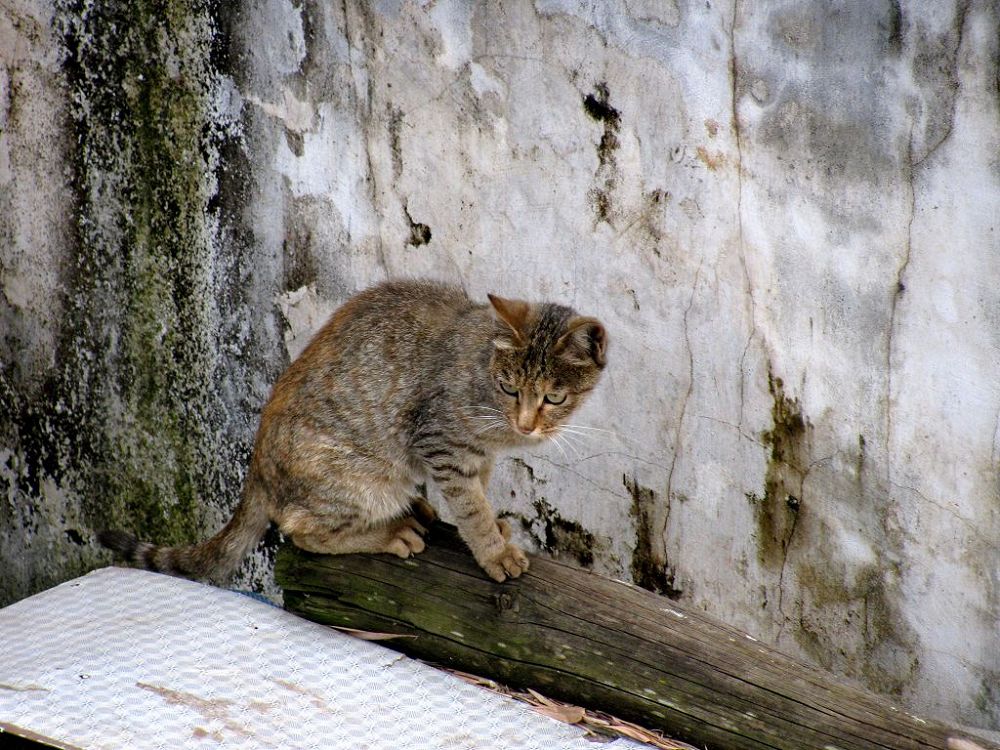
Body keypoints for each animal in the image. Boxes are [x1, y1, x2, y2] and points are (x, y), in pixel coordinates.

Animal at [99, 280, 608, 584]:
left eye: (554, 397)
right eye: (509, 388)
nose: (526, 422)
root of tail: (256, 470)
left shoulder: (477, 453)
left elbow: (478, 490)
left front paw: (496, 527)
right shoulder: (441, 442)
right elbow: (469, 506)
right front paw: (493, 551)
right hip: (361, 479)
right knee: (300, 529)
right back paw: (390, 532)